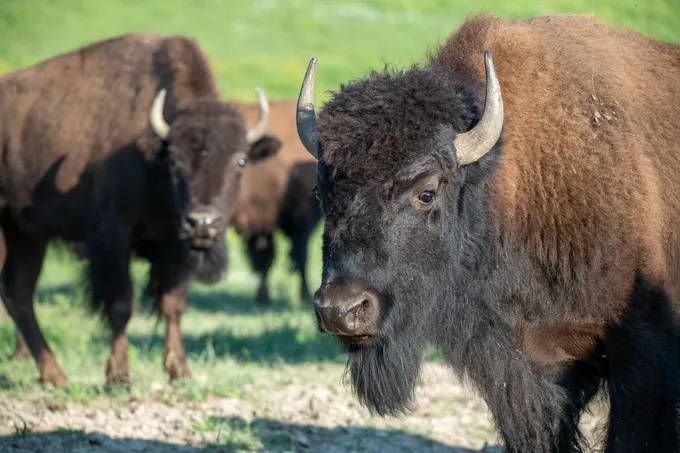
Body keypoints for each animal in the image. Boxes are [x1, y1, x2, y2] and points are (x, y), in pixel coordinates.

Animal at [1, 33, 278, 387]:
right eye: (174, 160)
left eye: (241, 160)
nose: (203, 223)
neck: (152, 164)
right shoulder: (113, 239)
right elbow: (121, 304)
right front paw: (118, 375)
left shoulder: (175, 247)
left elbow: (173, 305)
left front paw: (180, 371)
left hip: (25, 233)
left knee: (18, 290)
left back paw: (55, 375)